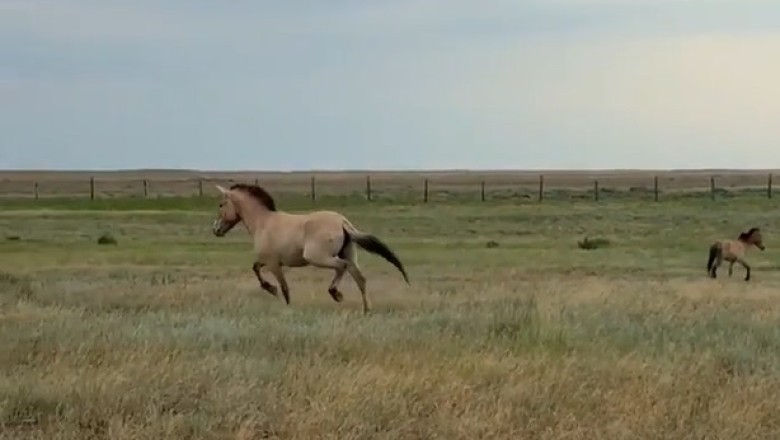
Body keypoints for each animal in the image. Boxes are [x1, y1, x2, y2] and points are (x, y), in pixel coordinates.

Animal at [211, 183, 409, 313]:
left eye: (221, 204)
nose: (215, 230)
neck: (263, 222)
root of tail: (343, 222)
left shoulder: (274, 264)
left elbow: (284, 287)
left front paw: (279, 296)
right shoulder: (267, 261)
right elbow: (256, 268)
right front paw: (271, 289)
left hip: (318, 257)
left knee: (342, 267)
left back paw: (336, 294)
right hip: (349, 254)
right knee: (360, 278)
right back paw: (366, 310)